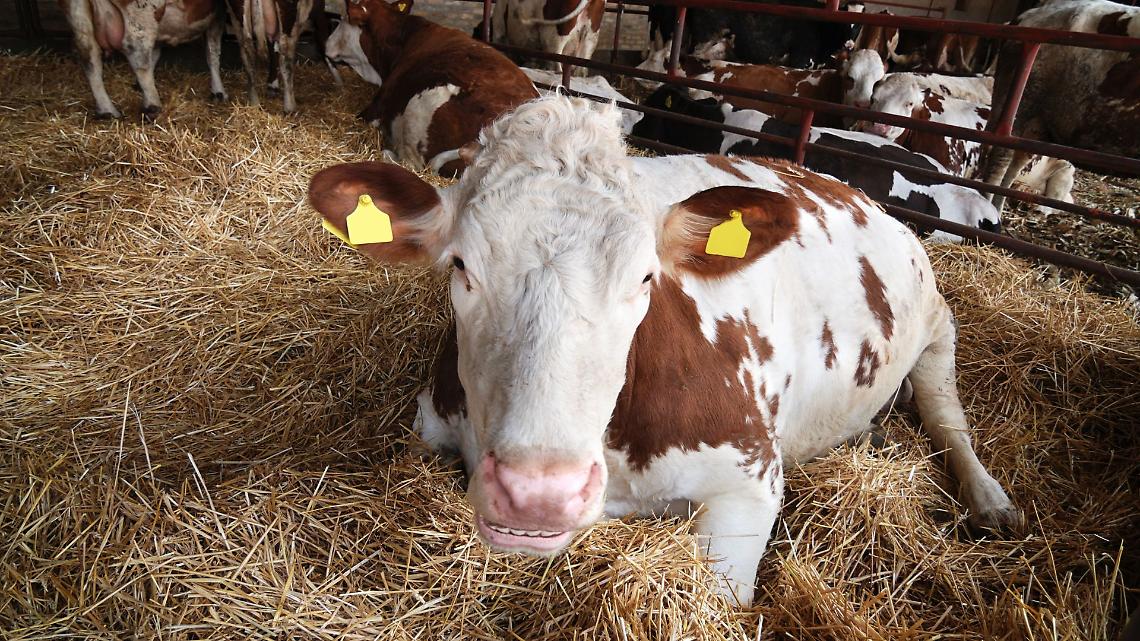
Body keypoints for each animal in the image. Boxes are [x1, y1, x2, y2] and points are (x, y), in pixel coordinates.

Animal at [59, 0, 227, 118]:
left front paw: (138, 85)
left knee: (90, 57)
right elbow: (213, 53)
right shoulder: (218, 16)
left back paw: (107, 110)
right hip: (142, 15)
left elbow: (155, 55)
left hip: (78, 14)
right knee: (136, 51)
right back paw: (152, 105)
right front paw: (219, 91)